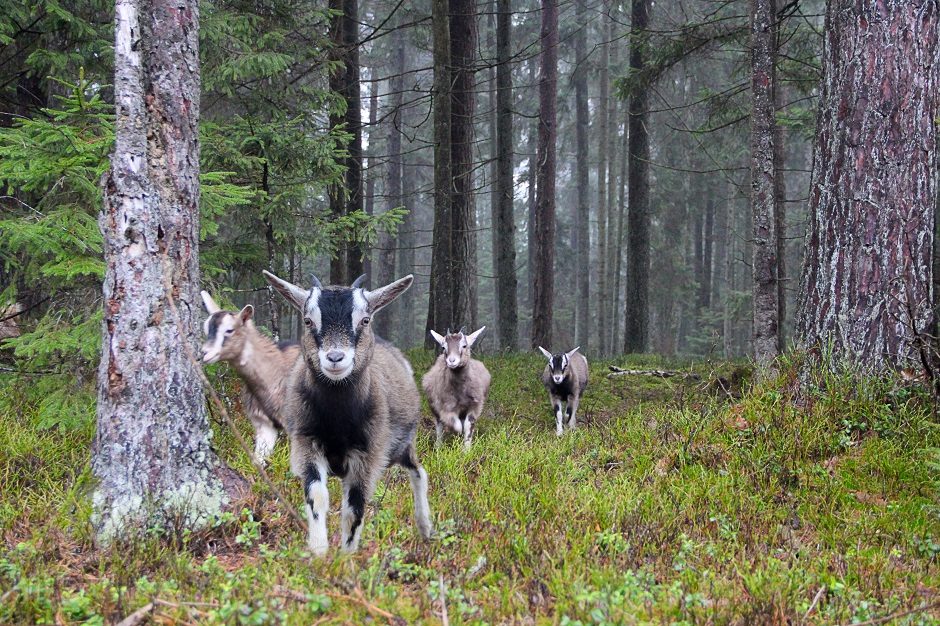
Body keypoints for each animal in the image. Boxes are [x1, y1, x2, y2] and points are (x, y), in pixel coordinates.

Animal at [260, 270, 430, 552]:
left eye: (365, 319)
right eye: (308, 320)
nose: (335, 358)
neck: (337, 420)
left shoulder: (368, 454)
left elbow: (355, 507)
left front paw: (347, 555)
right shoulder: (307, 443)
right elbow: (317, 497)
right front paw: (319, 551)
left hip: (400, 446)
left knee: (418, 471)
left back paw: (426, 527)